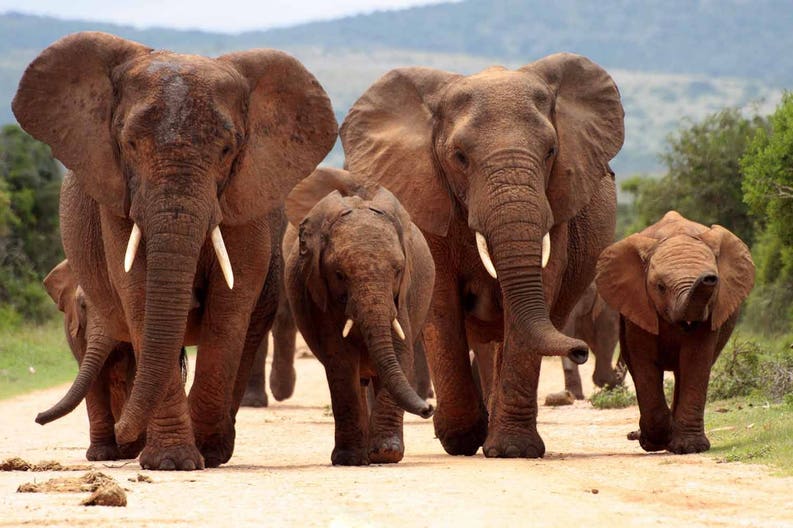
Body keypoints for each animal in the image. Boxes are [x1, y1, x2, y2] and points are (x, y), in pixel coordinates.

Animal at [13, 31, 337, 470]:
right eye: (130, 144)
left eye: (227, 150)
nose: (124, 432)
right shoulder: (118, 197)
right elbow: (138, 295)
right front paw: (171, 462)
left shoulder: (245, 197)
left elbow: (230, 306)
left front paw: (202, 453)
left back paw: (213, 447)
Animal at [284, 167, 435, 465]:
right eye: (339, 275)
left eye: (398, 270)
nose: (429, 408)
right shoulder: (319, 294)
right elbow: (340, 359)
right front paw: (349, 459)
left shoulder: (403, 295)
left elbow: (400, 350)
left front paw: (386, 454)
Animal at [340, 53, 624, 457]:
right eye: (459, 157)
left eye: (551, 151)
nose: (580, 350)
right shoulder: (425, 195)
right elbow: (441, 301)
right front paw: (460, 438)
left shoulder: (557, 205)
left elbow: (538, 289)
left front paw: (512, 450)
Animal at [596, 211, 755, 454]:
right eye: (660, 287)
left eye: (715, 283)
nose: (709, 278)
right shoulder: (639, 304)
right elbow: (643, 362)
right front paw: (653, 443)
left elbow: (695, 359)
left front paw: (689, 447)